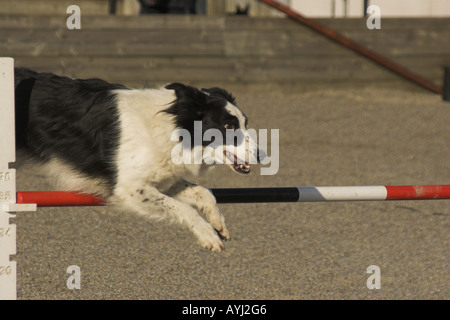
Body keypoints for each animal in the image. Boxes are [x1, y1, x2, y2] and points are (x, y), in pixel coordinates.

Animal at [14, 69, 262, 251]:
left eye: (245, 123)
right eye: (228, 125)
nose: (262, 155)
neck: (169, 127)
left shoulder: (162, 181)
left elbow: (204, 192)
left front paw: (218, 222)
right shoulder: (128, 189)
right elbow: (184, 208)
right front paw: (208, 235)